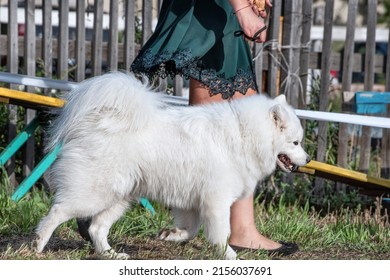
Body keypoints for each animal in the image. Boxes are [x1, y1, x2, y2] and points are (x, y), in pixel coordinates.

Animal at [35, 71, 310, 260]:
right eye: (295, 142)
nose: (308, 160)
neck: (244, 135)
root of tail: (99, 121)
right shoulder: (217, 201)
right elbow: (221, 233)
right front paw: (230, 256)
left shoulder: (194, 203)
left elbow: (191, 230)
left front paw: (170, 235)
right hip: (95, 193)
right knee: (58, 212)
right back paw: (38, 244)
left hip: (120, 197)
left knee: (96, 228)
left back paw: (110, 254)